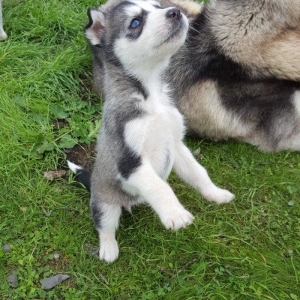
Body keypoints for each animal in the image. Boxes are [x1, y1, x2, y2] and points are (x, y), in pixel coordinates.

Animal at [71, 0, 234, 262]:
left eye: (158, 6)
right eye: (135, 22)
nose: (176, 12)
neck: (152, 97)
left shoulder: (175, 144)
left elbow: (199, 173)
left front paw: (215, 194)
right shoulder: (129, 161)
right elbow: (160, 187)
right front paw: (175, 214)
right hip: (105, 204)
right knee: (104, 225)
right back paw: (108, 248)